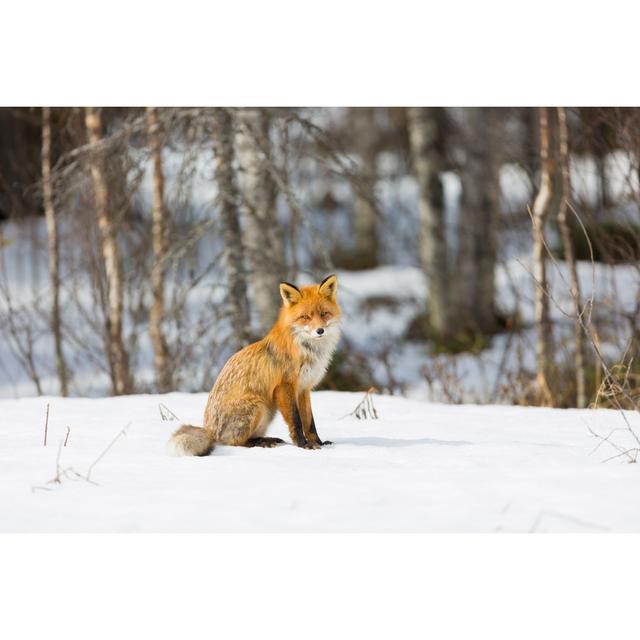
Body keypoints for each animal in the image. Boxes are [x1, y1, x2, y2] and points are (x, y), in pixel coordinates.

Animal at [168, 276, 342, 456]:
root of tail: (210, 431)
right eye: (305, 317)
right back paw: (262, 443)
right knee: (237, 443)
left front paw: (318, 443)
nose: (320, 330)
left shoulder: (304, 388)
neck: (307, 351)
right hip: (258, 406)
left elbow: (309, 422)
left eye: (324, 314)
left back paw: (268, 439)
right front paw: (303, 444)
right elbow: (296, 420)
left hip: (268, 411)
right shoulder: (285, 386)